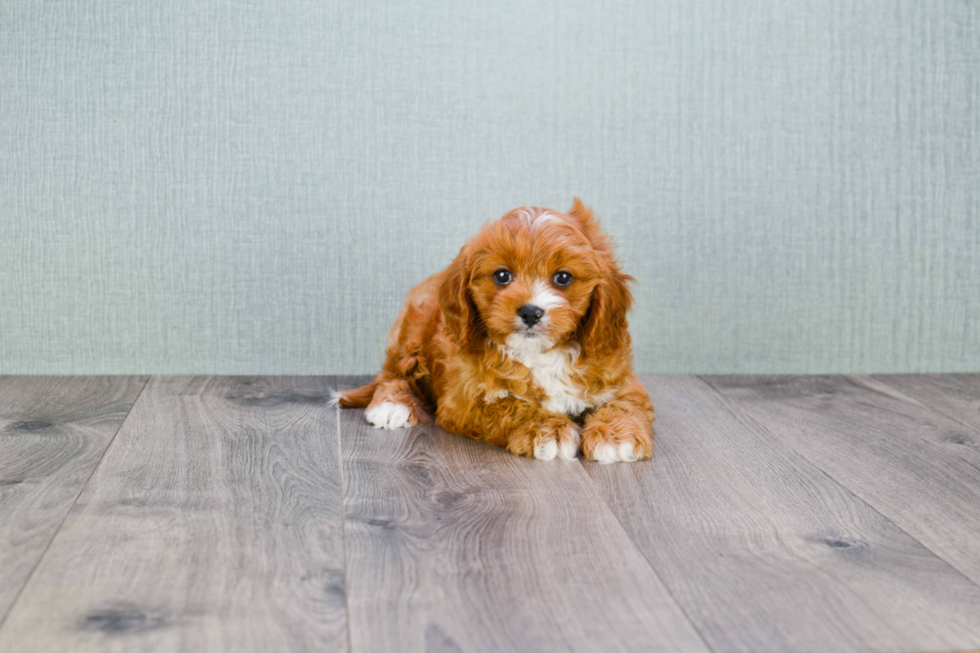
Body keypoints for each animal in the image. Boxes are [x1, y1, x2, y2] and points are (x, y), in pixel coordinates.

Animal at [334, 199, 656, 464]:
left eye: (563, 278)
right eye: (502, 275)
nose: (530, 311)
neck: (540, 354)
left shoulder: (618, 375)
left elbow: (626, 403)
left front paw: (616, 437)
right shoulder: (463, 399)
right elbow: (509, 406)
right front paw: (548, 430)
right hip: (411, 330)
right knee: (393, 372)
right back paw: (392, 404)